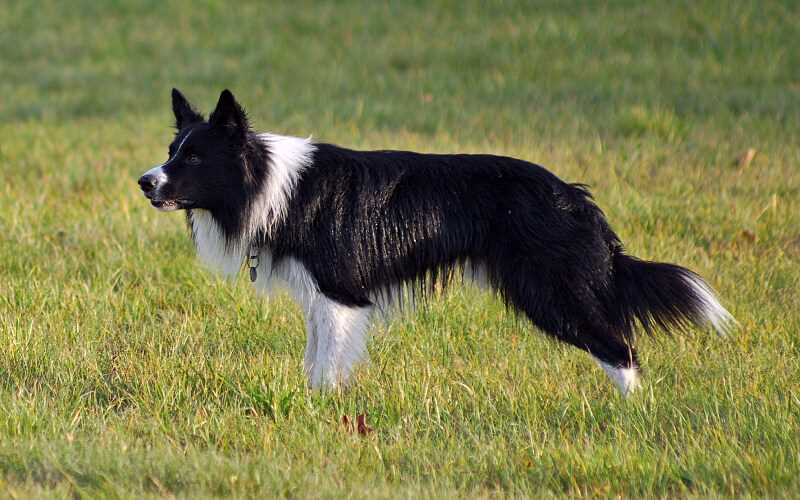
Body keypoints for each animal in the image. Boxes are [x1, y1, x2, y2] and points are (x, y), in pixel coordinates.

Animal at [139, 89, 736, 394]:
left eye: (194, 158)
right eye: (171, 151)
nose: (144, 181)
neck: (268, 180)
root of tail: (576, 198)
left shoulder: (340, 295)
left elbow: (328, 366)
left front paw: (325, 415)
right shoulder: (321, 298)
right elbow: (315, 359)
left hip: (552, 291)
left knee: (622, 350)